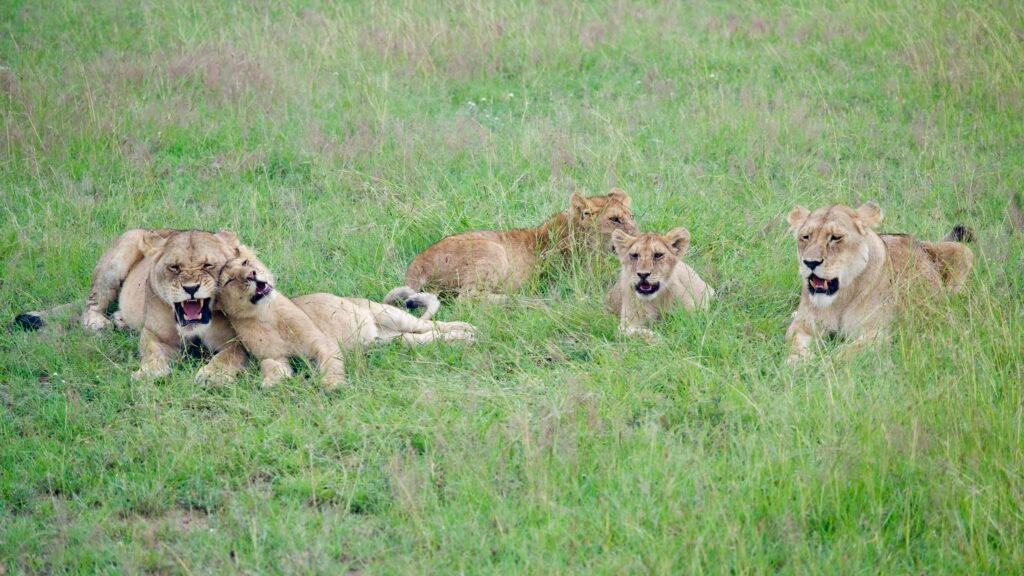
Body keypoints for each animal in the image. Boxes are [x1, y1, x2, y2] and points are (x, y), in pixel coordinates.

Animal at [14, 228, 252, 382]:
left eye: (208, 265)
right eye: (174, 267)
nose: (191, 288)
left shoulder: (236, 341)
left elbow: (228, 357)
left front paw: (213, 375)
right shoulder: (156, 335)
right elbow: (152, 352)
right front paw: (149, 373)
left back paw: (120, 320)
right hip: (119, 256)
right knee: (92, 302)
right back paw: (97, 323)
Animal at [217, 255, 476, 389]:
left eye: (246, 263)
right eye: (230, 280)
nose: (252, 275)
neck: (265, 316)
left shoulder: (322, 343)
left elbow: (329, 363)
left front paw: (332, 384)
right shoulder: (277, 357)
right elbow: (272, 366)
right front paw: (271, 382)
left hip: (389, 314)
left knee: (433, 325)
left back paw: (467, 329)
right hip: (390, 342)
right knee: (427, 338)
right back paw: (462, 338)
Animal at [384, 189, 639, 312]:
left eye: (631, 216)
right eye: (615, 219)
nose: (636, 235)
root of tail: (416, 264)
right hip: (493, 250)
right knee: (467, 299)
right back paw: (528, 301)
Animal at [785, 201, 974, 362]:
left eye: (835, 237)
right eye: (805, 237)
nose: (810, 262)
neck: (840, 299)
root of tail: (916, 240)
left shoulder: (878, 335)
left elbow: (844, 353)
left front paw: (825, 365)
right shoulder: (803, 326)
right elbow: (795, 344)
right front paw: (796, 363)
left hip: (963, 252)